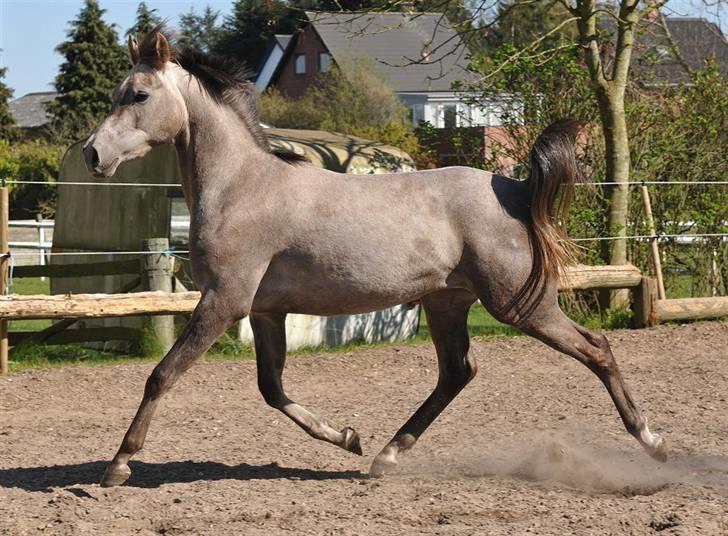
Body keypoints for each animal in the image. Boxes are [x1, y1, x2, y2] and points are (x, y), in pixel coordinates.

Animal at [81, 30, 664, 490]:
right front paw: (347, 437)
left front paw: (117, 466)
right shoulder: (265, 311)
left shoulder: (224, 301)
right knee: (458, 371)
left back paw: (654, 442)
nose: (91, 154)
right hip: (447, 301)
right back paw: (385, 455)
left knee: (596, 347)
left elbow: (162, 375)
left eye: (138, 93)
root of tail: (514, 188)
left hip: (519, 304)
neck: (242, 188)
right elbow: (272, 389)